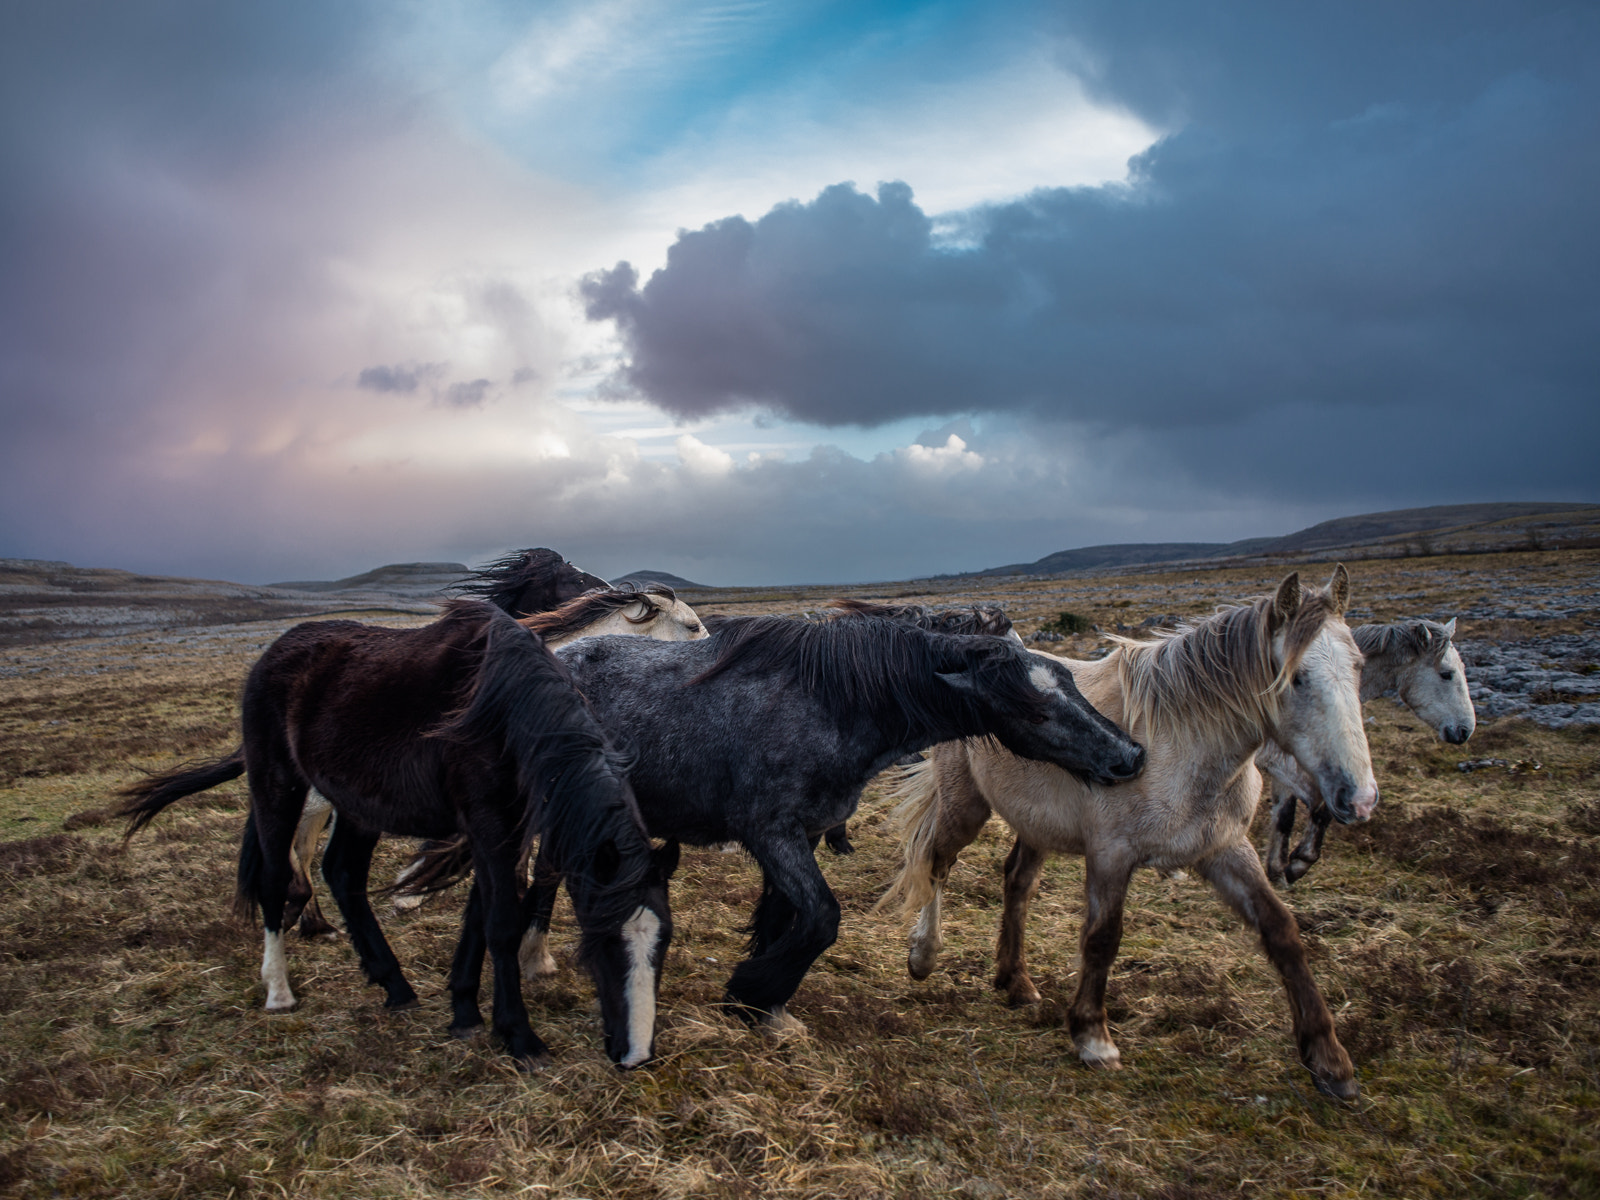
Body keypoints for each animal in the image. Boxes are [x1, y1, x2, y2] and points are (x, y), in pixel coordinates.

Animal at [120, 601, 675, 1068]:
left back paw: (394, 984)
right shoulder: (488, 823)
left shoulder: (505, 829)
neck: (506, 711)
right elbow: (501, 924)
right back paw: (279, 991)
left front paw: (465, 1013)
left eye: (663, 942)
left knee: (342, 875)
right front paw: (519, 1036)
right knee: (277, 881)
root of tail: (274, 653)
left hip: (357, 805)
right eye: (601, 942)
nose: (635, 1056)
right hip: (278, 787)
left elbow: (480, 919)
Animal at [432, 614, 1145, 1036]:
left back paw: (510, 975)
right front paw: (752, 991)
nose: (1129, 756)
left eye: (1069, 682)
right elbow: (823, 918)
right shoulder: (770, 833)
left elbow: (786, 918)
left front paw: (766, 1009)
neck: (836, 703)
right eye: (1034, 707)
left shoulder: (798, 837)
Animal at [876, 569, 1376, 1107]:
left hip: (1037, 824)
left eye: (1360, 666)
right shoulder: (1111, 854)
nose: (1360, 797)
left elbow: (1282, 931)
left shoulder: (1223, 849)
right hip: (965, 807)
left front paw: (1330, 1060)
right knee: (936, 863)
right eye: (1296, 677)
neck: (1182, 747)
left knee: (1016, 883)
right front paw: (1093, 1037)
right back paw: (924, 956)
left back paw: (1016, 982)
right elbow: (1102, 938)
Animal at [1260, 620, 1472, 883]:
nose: (1466, 730)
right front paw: (1299, 862)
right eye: (1446, 674)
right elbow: (1322, 807)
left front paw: (1278, 870)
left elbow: (1285, 815)